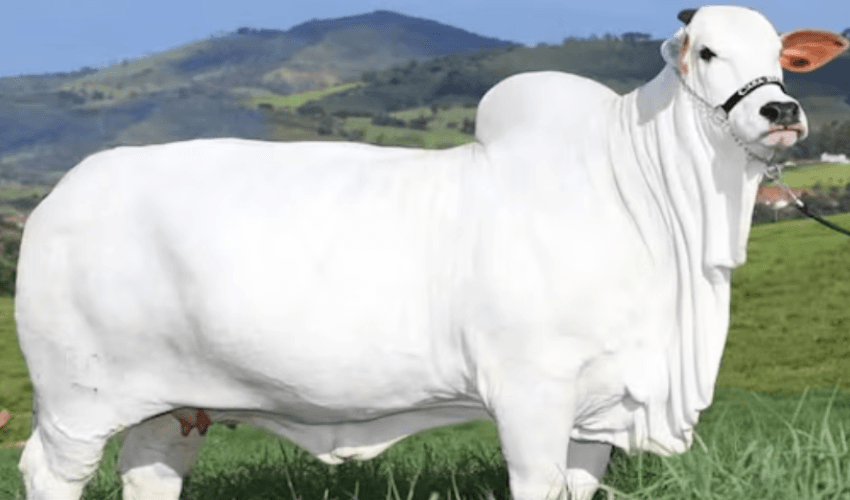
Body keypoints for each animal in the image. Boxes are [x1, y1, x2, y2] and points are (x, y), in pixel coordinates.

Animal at [15, 6, 849, 500]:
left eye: (780, 52)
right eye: (705, 51)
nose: (781, 110)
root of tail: (59, 198)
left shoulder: (599, 409)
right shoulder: (531, 395)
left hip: (173, 405)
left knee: (150, 473)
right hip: (76, 401)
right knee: (48, 473)